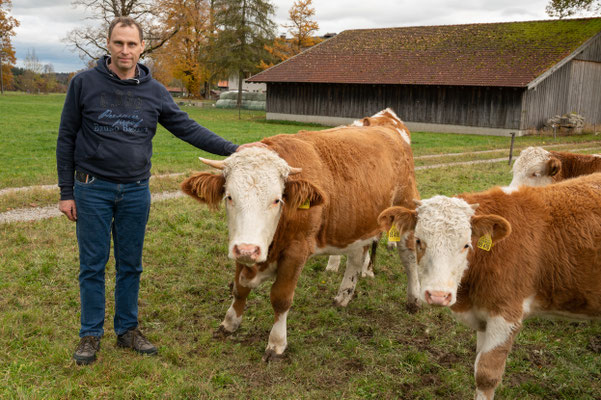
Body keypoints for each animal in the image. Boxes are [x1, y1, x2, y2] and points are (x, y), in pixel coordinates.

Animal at [180, 108, 420, 360]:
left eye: (277, 200)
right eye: (229, 196)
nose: (248, 249)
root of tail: (387, 121)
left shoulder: (296, 251)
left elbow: (281, 298)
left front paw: (276, 343)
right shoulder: (241, 244)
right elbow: (239, 288)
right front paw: (230, 322)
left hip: (405, 209)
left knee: (409, 256)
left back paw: (413, 299)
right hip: (359, 222)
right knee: (356, 257)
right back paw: (343, 296)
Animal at [378, 174, 600, 400]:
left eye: (466, 245)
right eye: (418, 241)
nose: (438, 295)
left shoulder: (506, 315)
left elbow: (486, 375)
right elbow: (477, 365)